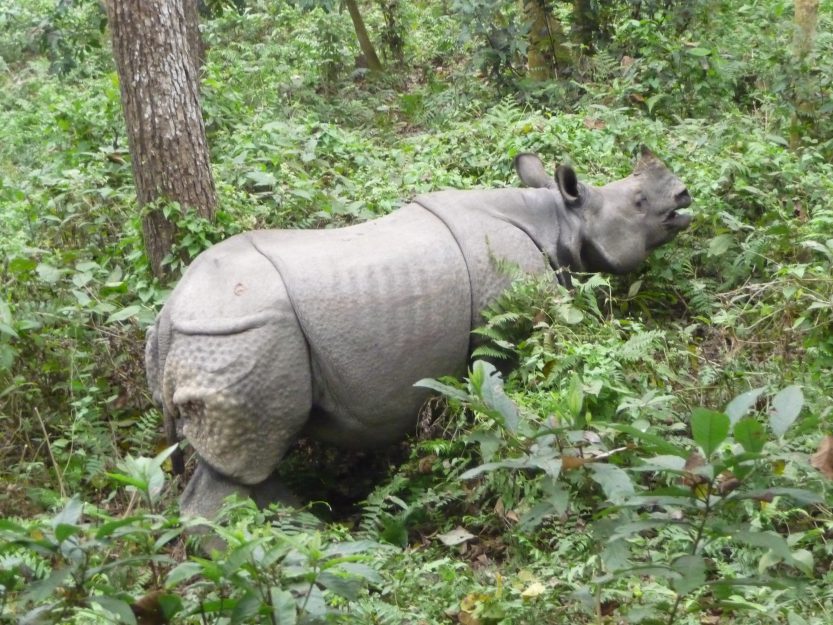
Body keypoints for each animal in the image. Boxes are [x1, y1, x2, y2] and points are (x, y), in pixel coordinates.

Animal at [145, 148, 692, 518]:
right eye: (639, 202)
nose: (684, 196)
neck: (560, 216)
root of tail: (169, 317)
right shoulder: (504, 323)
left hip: (221, 340)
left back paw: (302, 525)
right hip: (240, 339)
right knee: (245, 458)